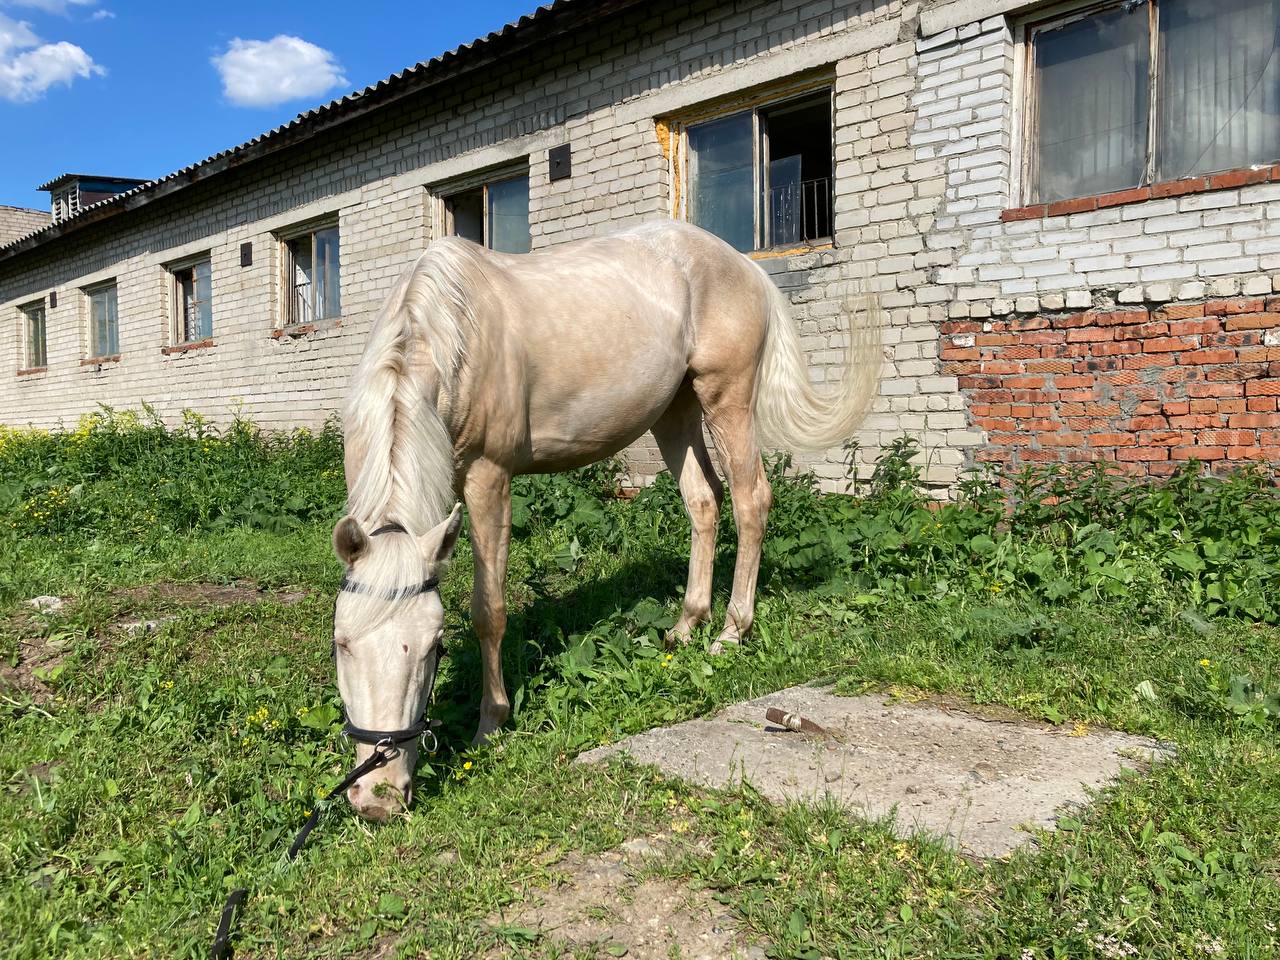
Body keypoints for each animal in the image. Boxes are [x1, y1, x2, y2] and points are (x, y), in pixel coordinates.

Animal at [327, 220, 880, 819]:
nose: (377, 798)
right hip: (676, 409)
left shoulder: (488, 478)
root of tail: (742, 265)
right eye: (342, 644)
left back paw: (732, 630)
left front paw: (490, 724)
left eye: (433, 647)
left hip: (726, 397)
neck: (449, 335)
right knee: (703, 501)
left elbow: (488, 611)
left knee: (749, 499)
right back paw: (686, 625)